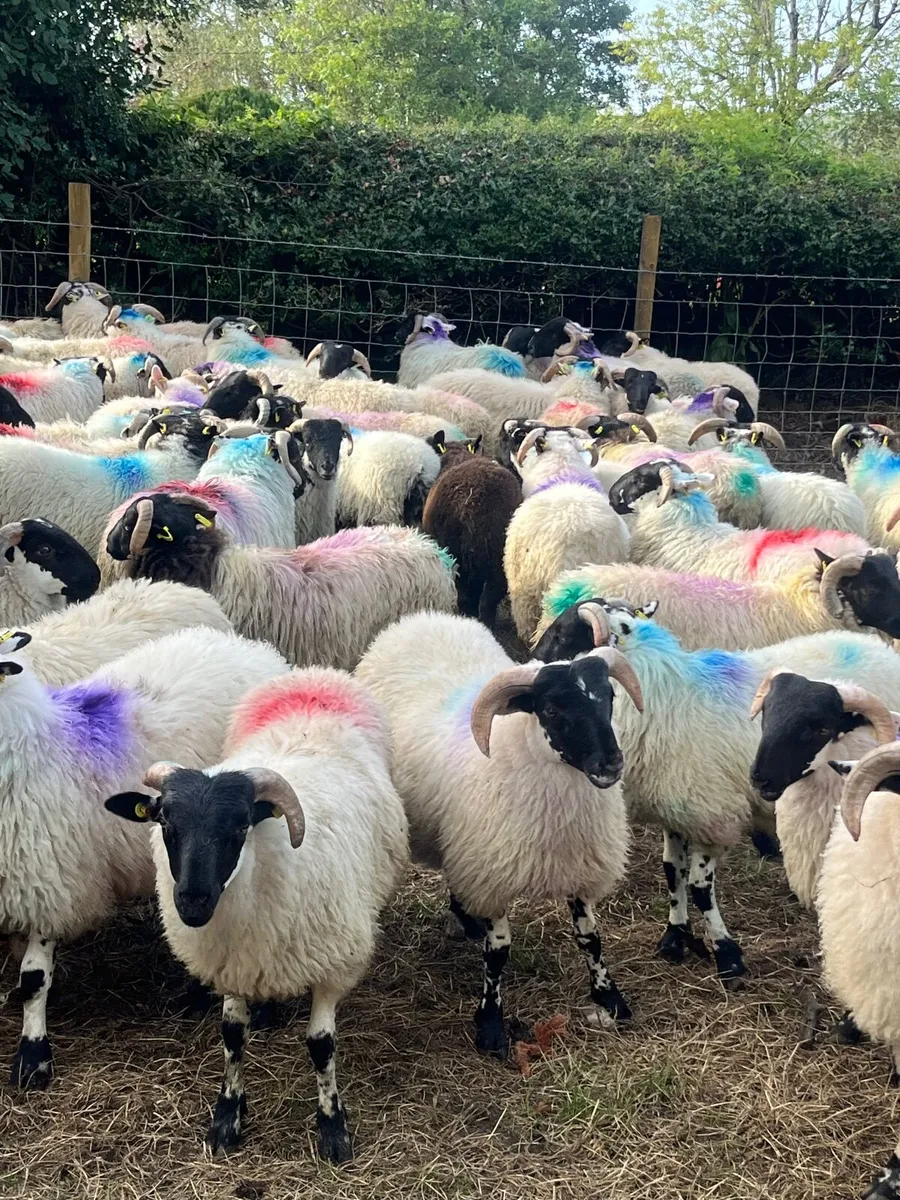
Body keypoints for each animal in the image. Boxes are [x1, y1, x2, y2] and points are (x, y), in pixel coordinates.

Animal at [103, 668, 408, 1161]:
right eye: (165, 822)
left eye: (241, 825)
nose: (192, 901)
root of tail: (313, 676)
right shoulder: (232, 962)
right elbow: (232, 1035)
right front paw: (227, 1117)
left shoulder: (335, 963)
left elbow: (321, 1047)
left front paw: (332, 1126)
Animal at [356, 611, 644, 1056]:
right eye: (551, 709)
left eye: (609, 698)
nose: (610, 764)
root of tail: (423, 619)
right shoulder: (490, 873)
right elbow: (499, 953)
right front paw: (490, 1024)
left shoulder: (577, 865)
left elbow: (590, 938)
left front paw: (610, 997)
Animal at [531, 600, 900, 982]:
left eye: (562, 634)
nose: (530, 661)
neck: (660, 696)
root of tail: (880, 648)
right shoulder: (676, 810)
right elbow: (672, 871)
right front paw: (676, 935)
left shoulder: (712, 816)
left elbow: (699, 887)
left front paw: (727, 953)